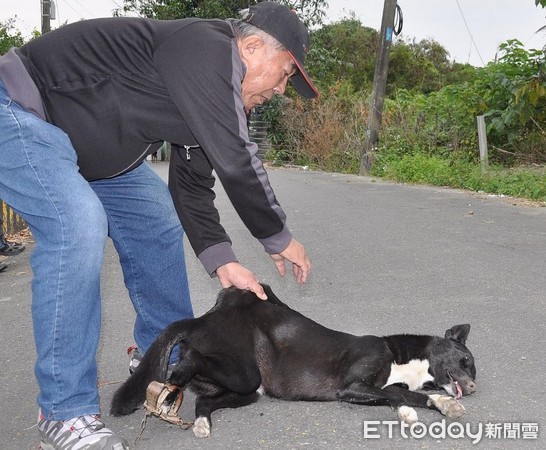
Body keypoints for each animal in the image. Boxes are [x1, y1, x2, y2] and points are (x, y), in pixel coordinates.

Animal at [109, 286, 472, 438]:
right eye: (466, 360)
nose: (471, 387)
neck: (399, 355)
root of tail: (202, 320)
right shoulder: (352, 385)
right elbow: (396, 393)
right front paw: (434, 405)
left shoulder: (375, 387)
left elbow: (398, 394)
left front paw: (428, 407)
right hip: (244, 374)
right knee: (191, 360)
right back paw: (174, 378)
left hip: (246, 392)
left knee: (204, 403)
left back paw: (200, 422)